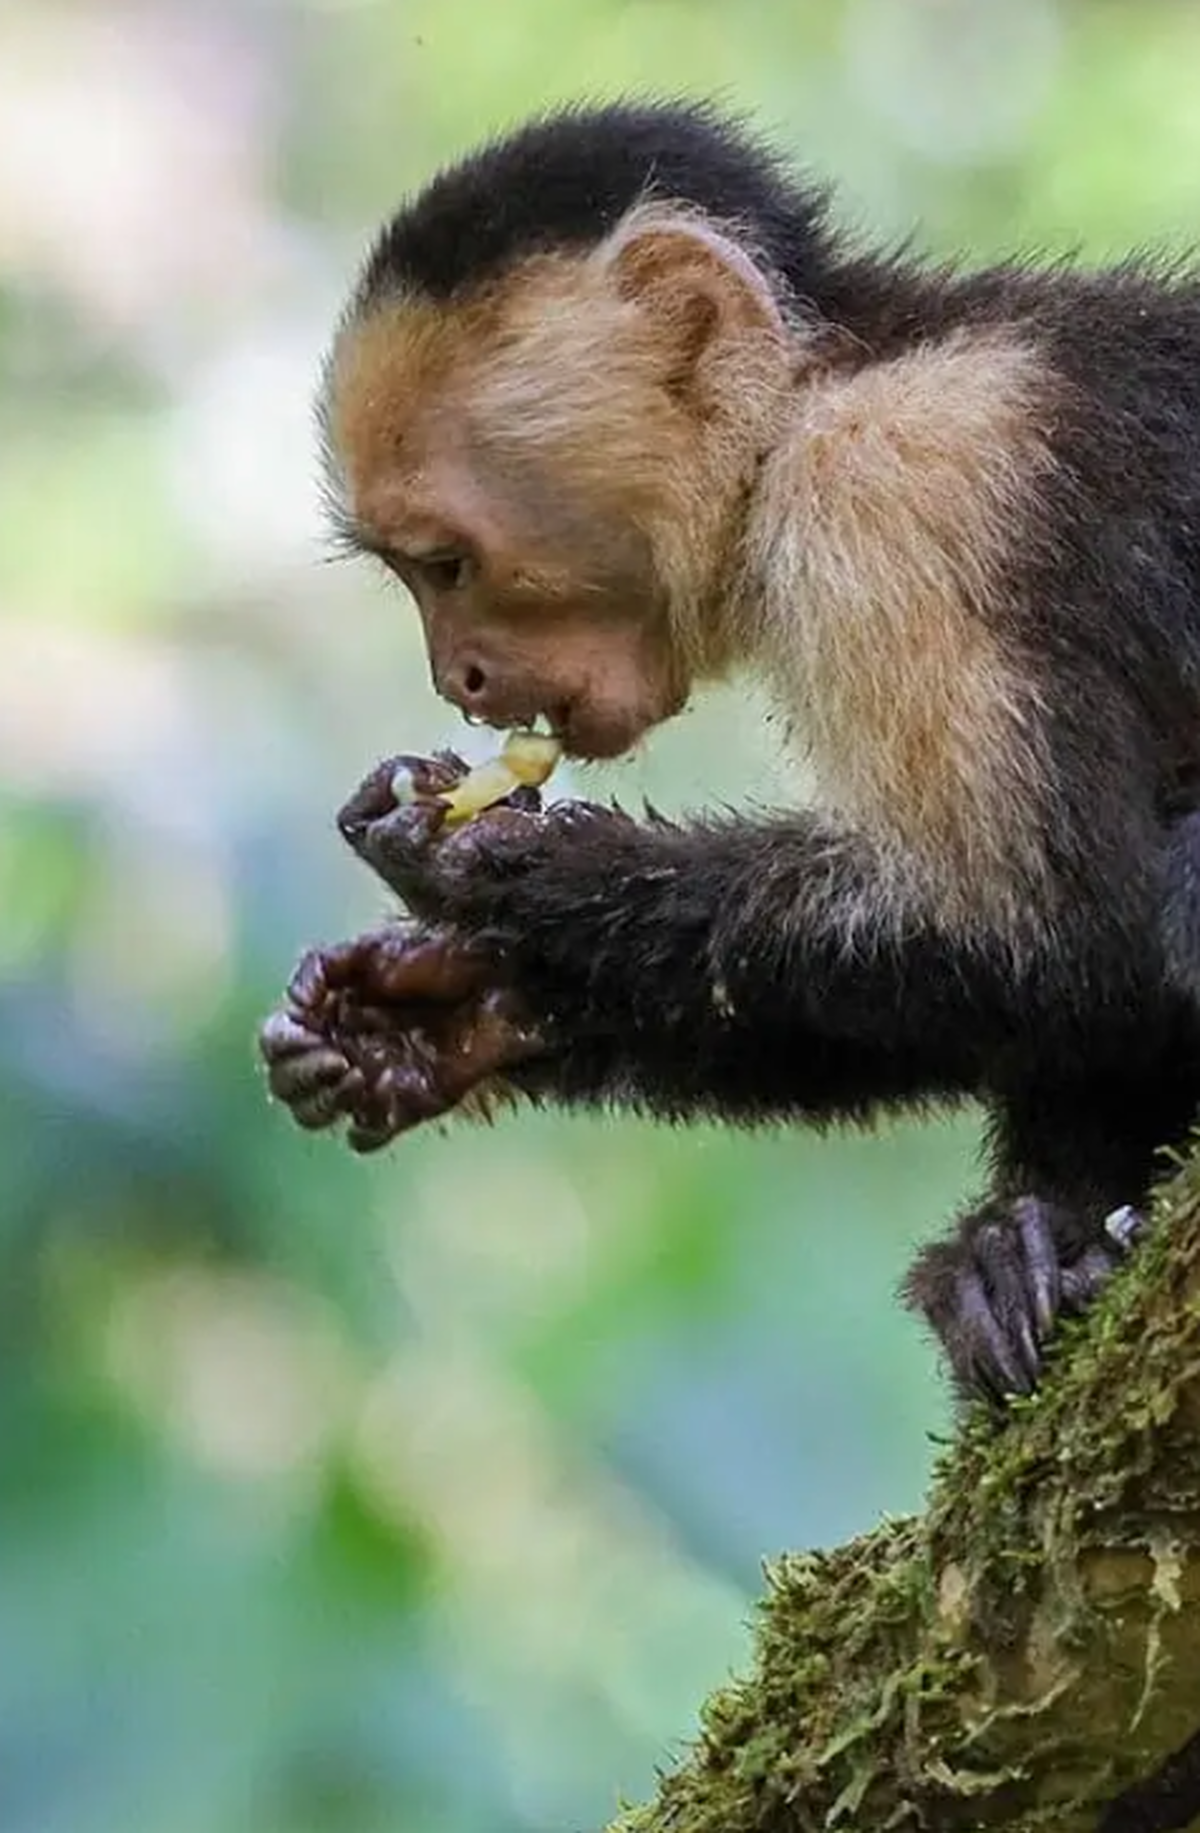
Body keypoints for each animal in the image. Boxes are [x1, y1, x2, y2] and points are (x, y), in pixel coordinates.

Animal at [259, 97, 1200, 1407]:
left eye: (444, 564)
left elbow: (1057, 941)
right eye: (410, 574)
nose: (459, 679)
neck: (830, 389)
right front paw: (448, 1012)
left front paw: (512, 874)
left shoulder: (900, 489)